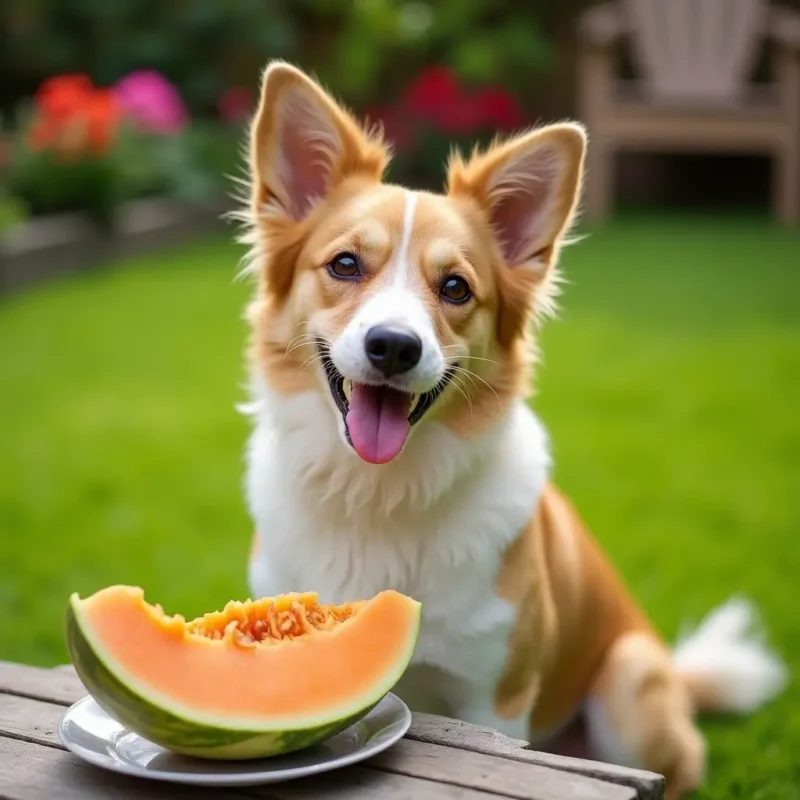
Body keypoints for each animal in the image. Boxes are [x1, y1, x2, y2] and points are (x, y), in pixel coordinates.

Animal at [241, 64, 784, 800]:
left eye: (456, 288)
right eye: (346, 265)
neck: (376, 495)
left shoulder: (494, 699)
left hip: (628, 680)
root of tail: (675, 674)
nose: (394, 346)